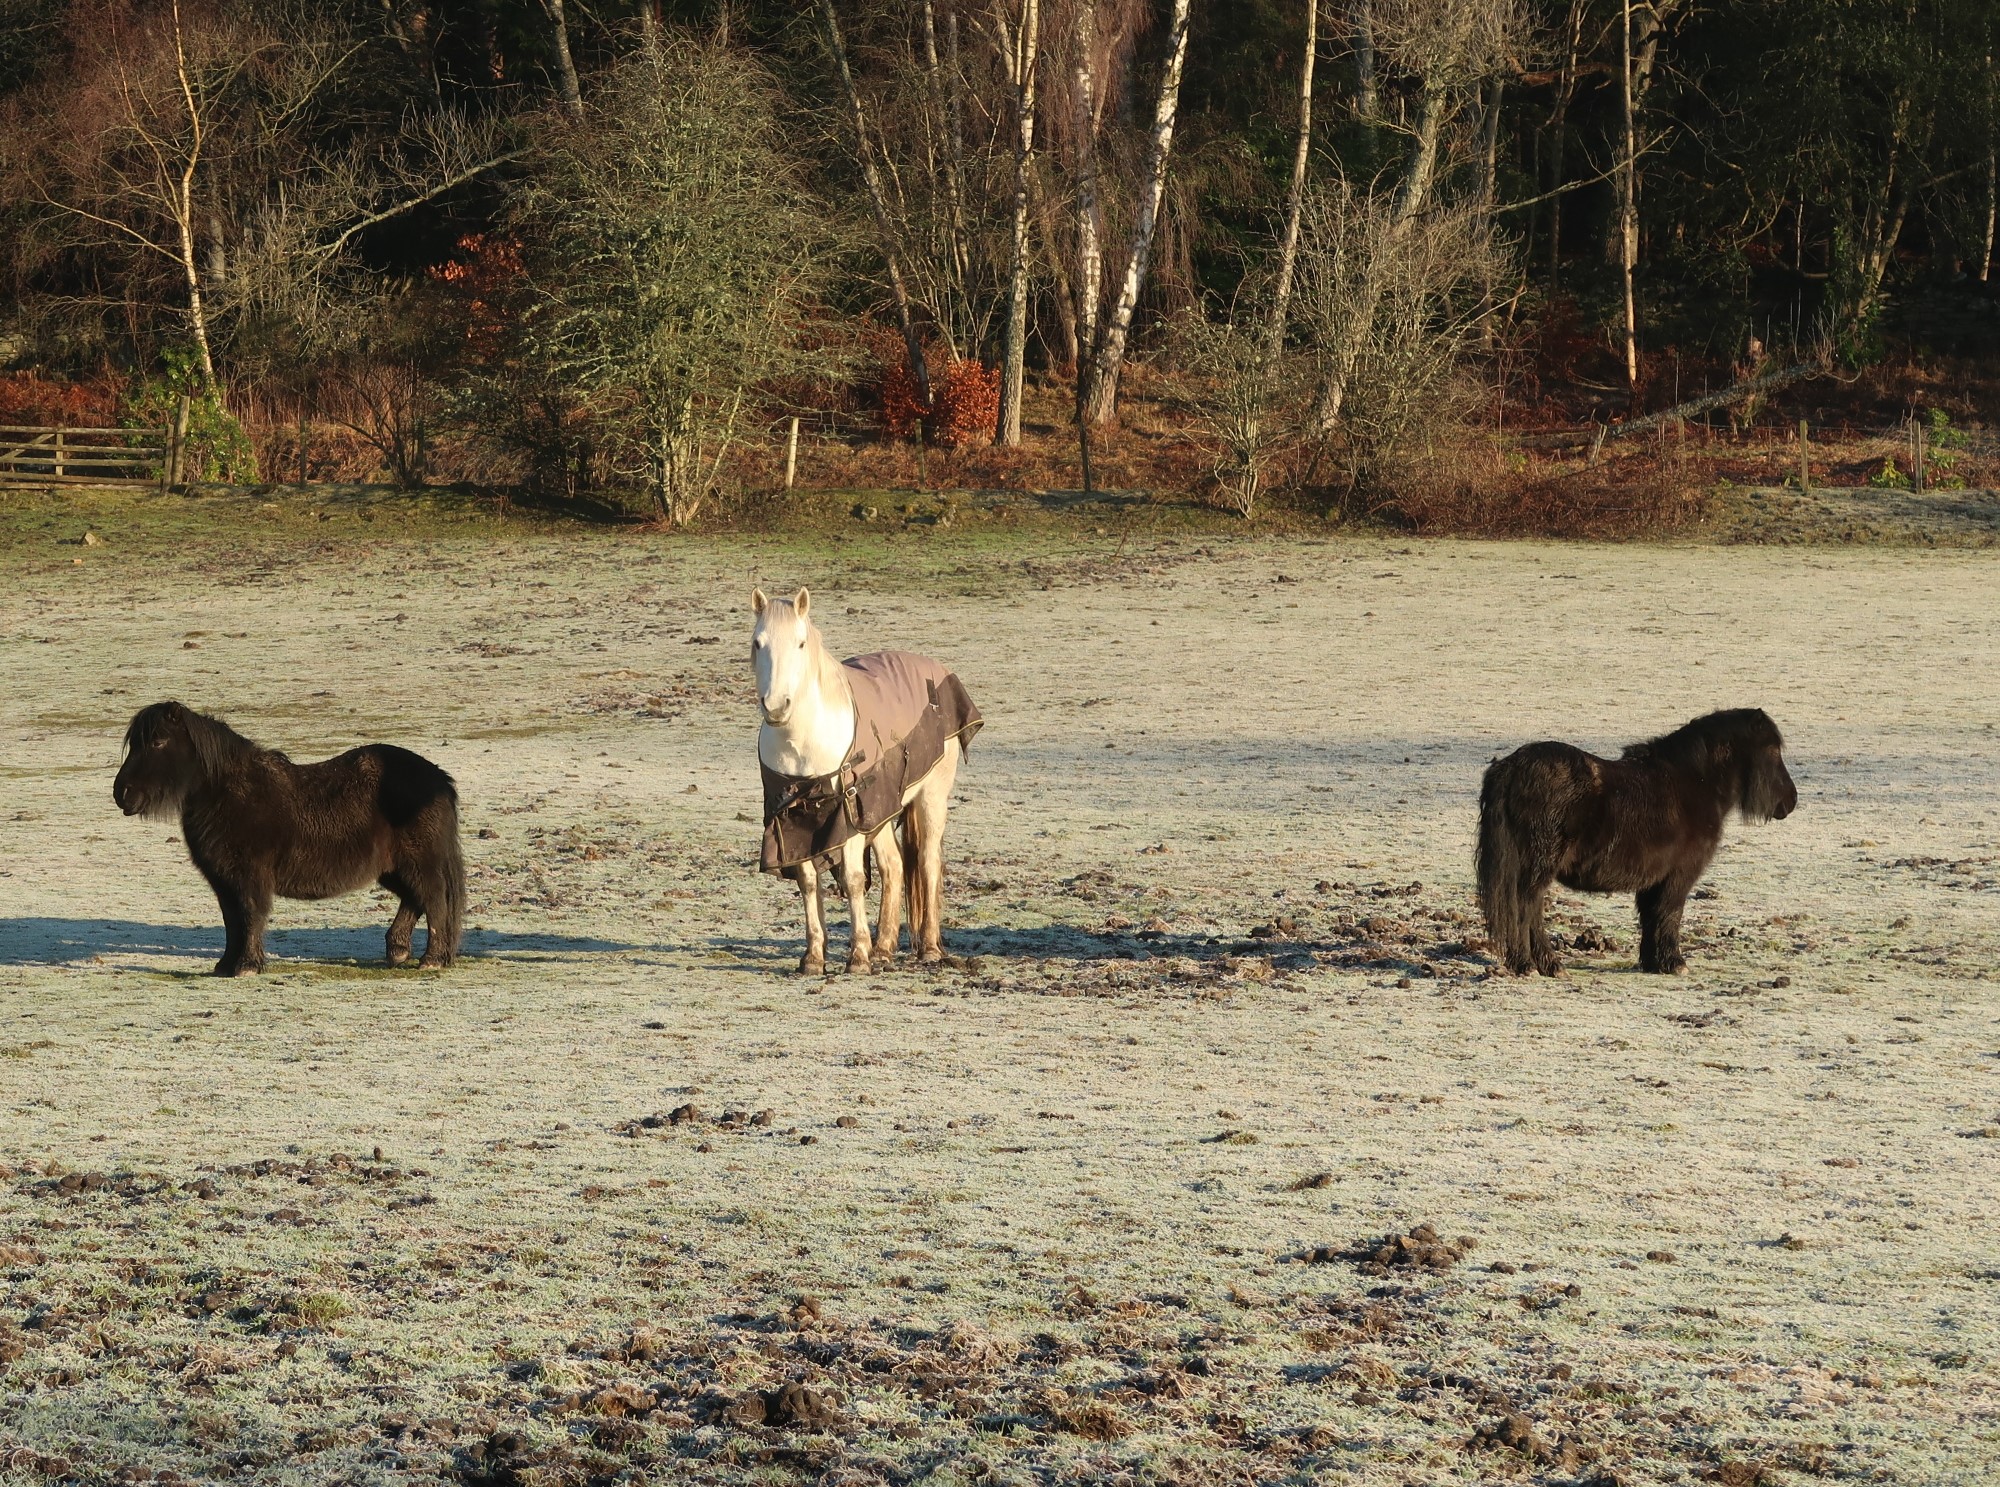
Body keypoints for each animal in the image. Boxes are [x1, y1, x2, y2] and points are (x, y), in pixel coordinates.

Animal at [112, 701, 464, 975]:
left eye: (158, 742)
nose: (122, 793)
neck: (230, 793)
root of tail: (439, 779)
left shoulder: (249, 876)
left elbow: (251, 914)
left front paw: (247, 966)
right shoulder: (223, 880)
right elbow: (231, 920)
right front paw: (225, 965)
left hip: (419, 863)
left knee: (433, 900)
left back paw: (430, 959)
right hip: (392, 869)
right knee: (415, 899)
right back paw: (398, 951)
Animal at [751, 587, 982, 975]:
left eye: (800, 643)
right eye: (758, 642)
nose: (777, 706)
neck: (804, 745)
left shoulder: (848, 819)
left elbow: (854, 880)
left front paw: (858, 956)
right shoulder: (795, 823)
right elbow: (808, 882)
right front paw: (814, 958)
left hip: (929, 797)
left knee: (928, 862)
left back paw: (928, 949)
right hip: (881, 812)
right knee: (894, 866)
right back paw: (884, 949)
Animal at [1476, 708, 1797, 977]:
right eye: (1772, 750)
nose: (1790, 801)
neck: (1694, 784)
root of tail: (1511, 767)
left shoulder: (1653, 880)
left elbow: (1651, 917)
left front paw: (1654, 963)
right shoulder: (1678, 876)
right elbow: (1670, 913)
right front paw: (1675, 963)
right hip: (1537, 868)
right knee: (1526, 908)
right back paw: (1536, 965)